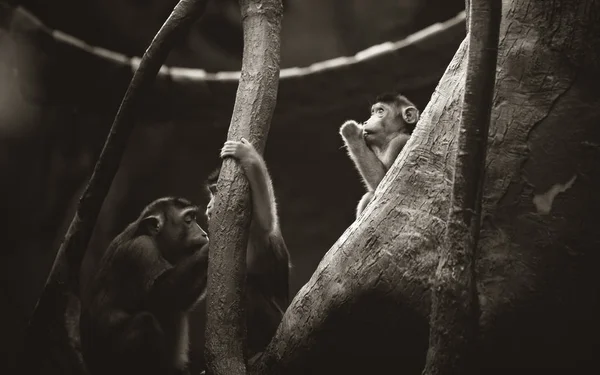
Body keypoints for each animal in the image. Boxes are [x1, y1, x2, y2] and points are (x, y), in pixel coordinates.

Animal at [79, 197, 211, 375]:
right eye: (188, 220)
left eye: (194, 218)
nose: (204, 233)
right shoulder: (142, 249)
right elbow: (160, 297)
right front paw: (206, 251)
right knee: (144, 324)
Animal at [206, 137, 290, 358]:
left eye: (216, 191)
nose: (208, 207)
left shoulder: (259, 231)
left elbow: (267, 219)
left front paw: (249, 156)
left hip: (275, 321)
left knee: (249, 286)